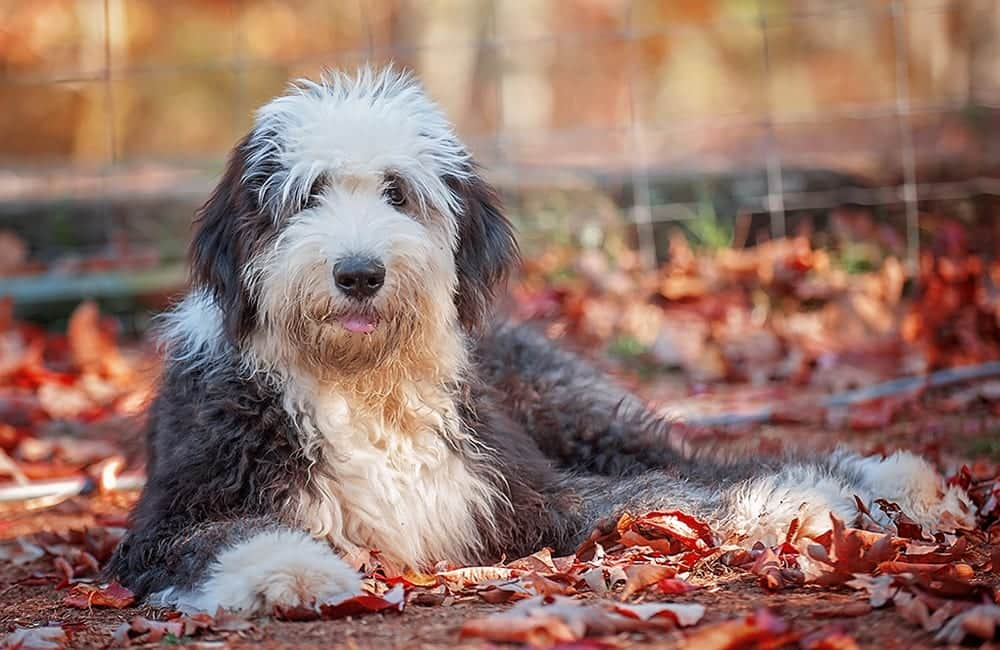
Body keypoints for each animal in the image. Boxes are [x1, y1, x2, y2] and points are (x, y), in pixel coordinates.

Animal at [103, 67, 976, 612]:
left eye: (398, 193)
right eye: (306, 195)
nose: (358, 273)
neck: (362, 385)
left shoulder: (524, 491)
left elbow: (668, 497)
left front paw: (794, 503)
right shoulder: (168, 519)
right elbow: (223, 535)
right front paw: (290, 572)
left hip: (577, 413)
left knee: (692, 462)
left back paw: (885, 479)